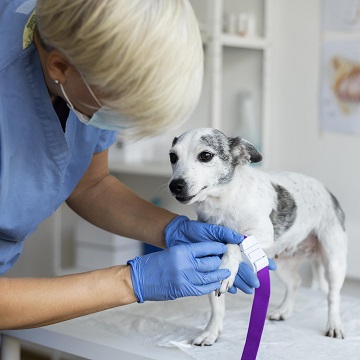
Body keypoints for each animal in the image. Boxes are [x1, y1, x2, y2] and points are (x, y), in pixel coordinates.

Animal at [167, 128, 348, 344]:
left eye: (206, 156)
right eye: (172, 156)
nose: (175, 185)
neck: (223, 204)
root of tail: (328, 192)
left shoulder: (261, 234)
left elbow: (233, 243)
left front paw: (229, 265)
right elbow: (216, 305)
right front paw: (211, 332)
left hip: (333, 261)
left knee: (333, 296)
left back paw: (334, 324)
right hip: (282, 264)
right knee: (295, 283)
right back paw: (284, 310)